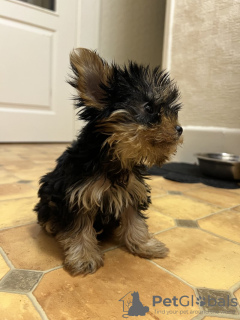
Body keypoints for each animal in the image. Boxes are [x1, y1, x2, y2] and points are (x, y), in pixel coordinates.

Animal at [34, 47, 183, 276]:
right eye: (148, 107)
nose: (179, 129)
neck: (117, 158)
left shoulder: (132, 193)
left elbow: (135, 222)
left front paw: (145, 245)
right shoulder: (76, 196)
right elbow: (79, 229)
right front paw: (84, 257)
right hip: (48, 194)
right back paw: (51, 224)